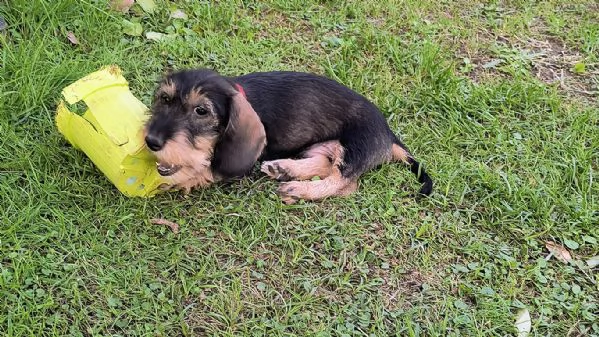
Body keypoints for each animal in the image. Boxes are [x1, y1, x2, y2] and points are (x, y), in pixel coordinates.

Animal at [143, 68, 434, 202]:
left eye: (201, 110)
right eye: (165, 99)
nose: (151, 141)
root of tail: (389, 135)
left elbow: (200, 170)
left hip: (356, 147)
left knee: (344, 183)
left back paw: (297, 188)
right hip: (320, 146)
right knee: (325, 164)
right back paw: (283, 169)